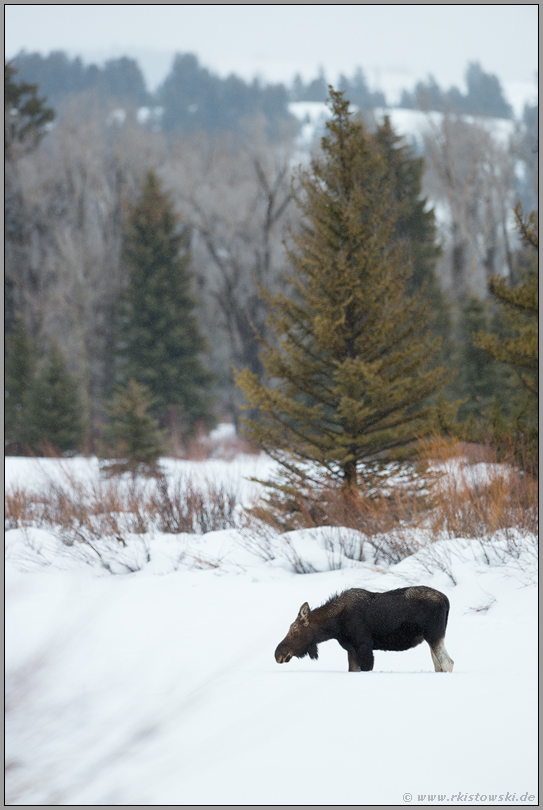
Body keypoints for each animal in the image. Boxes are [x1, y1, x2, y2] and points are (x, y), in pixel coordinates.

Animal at [276, 588, 454, 668]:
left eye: (294, 631)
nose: (277, 654)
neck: (335, 625)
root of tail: (446, 599)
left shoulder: (364, 646)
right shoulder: (352, 649)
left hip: (434, 634)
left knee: (447, 663)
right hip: (432, 637)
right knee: (438, 664)